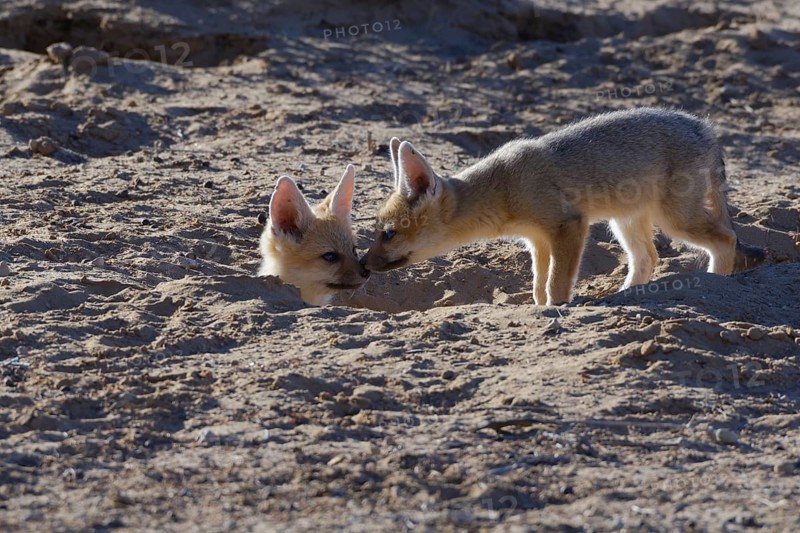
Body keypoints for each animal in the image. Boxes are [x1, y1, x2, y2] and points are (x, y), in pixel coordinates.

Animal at [362, 107, 764, 305]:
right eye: (377, 232)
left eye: (388, 234)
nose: (363, 265)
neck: (501, 185)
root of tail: (706, 128)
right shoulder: (538, 240)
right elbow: (539, 283)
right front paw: (540, 306)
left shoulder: (569, 225)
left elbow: (557, 283)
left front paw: (558, 308)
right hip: (625, 222)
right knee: (648, 258)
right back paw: (625, 295)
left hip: (676, 220)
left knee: (726, 239)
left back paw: (715, 283)